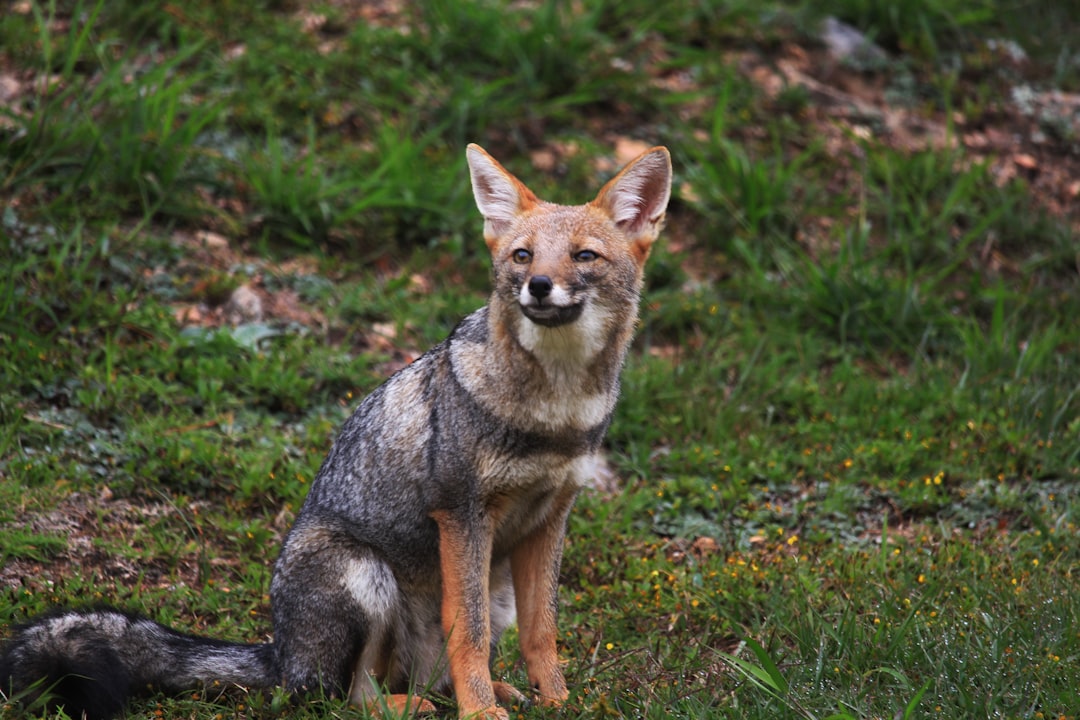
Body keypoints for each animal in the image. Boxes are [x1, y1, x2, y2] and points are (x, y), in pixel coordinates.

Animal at [0, 142, 669, 720]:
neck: (555, 410)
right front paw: (481, 713)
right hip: (365, 578)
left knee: (416, 675)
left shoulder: (549, 518)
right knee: (339, 695)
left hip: (485, 586)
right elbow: (470, 633)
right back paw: (414, 704)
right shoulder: (461, 513)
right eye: (523, 256)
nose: (538, 286)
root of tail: (279, 652)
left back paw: (481, 692)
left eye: (583, 257)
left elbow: (543, 631)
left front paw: (560, 702)